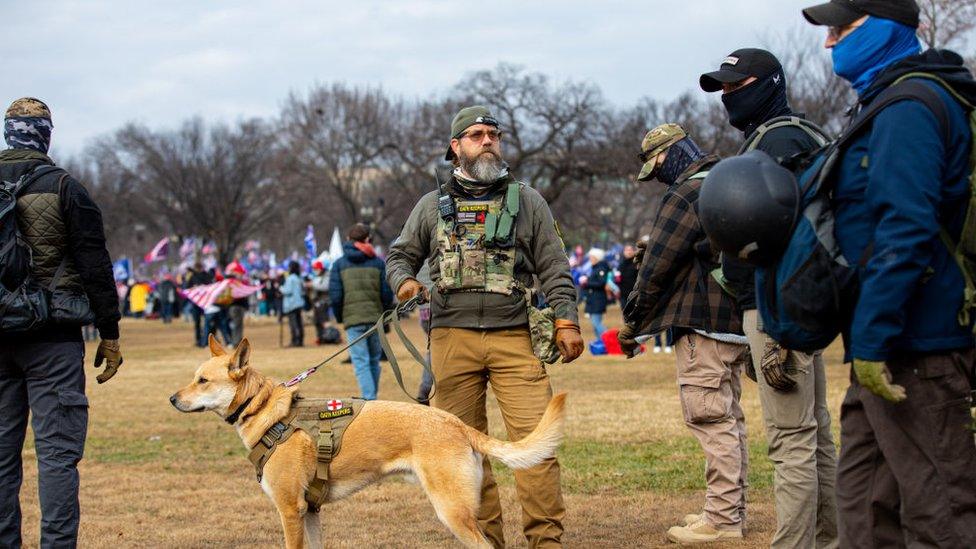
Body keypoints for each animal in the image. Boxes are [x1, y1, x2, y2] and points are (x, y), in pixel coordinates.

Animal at [168, 334, 564, 548]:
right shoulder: (310, 512)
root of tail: (456, 424)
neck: (267, 411)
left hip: (453, 511)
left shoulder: (290, 511)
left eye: (203, 381)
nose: (172, 399)